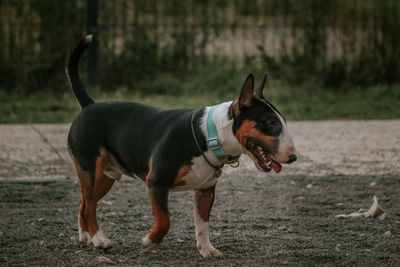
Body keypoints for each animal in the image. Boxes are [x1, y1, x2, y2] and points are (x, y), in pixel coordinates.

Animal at [66, 35, 296, 260]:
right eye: (270, 122)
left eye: (283, 120)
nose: (293, 158)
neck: (209, 135)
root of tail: (89, 105)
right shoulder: (156, 182)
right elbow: (165, 220)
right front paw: (148, 243)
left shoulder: (205, 190)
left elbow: (202, 223)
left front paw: (206, 249)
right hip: (91, 171)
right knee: (90, 206)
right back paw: (99, 239)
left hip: (105, 177)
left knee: (83, 202)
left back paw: (85, 236)